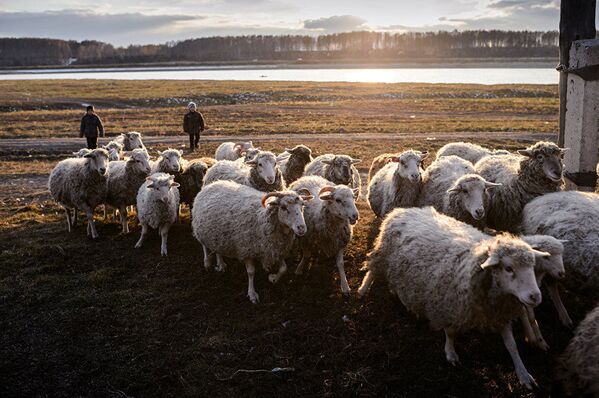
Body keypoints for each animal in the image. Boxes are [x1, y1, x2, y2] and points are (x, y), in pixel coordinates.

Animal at [358, 207, 548, 390]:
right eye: (508, 268)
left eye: (532, 266)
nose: (535, 296)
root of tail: (401, 210)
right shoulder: (449, 306)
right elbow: (450, 332)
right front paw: (450, 353)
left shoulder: (498, 312)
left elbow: (511, 345)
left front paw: (523, 374)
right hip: (382, 253)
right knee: (372, 270)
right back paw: (363, 289)